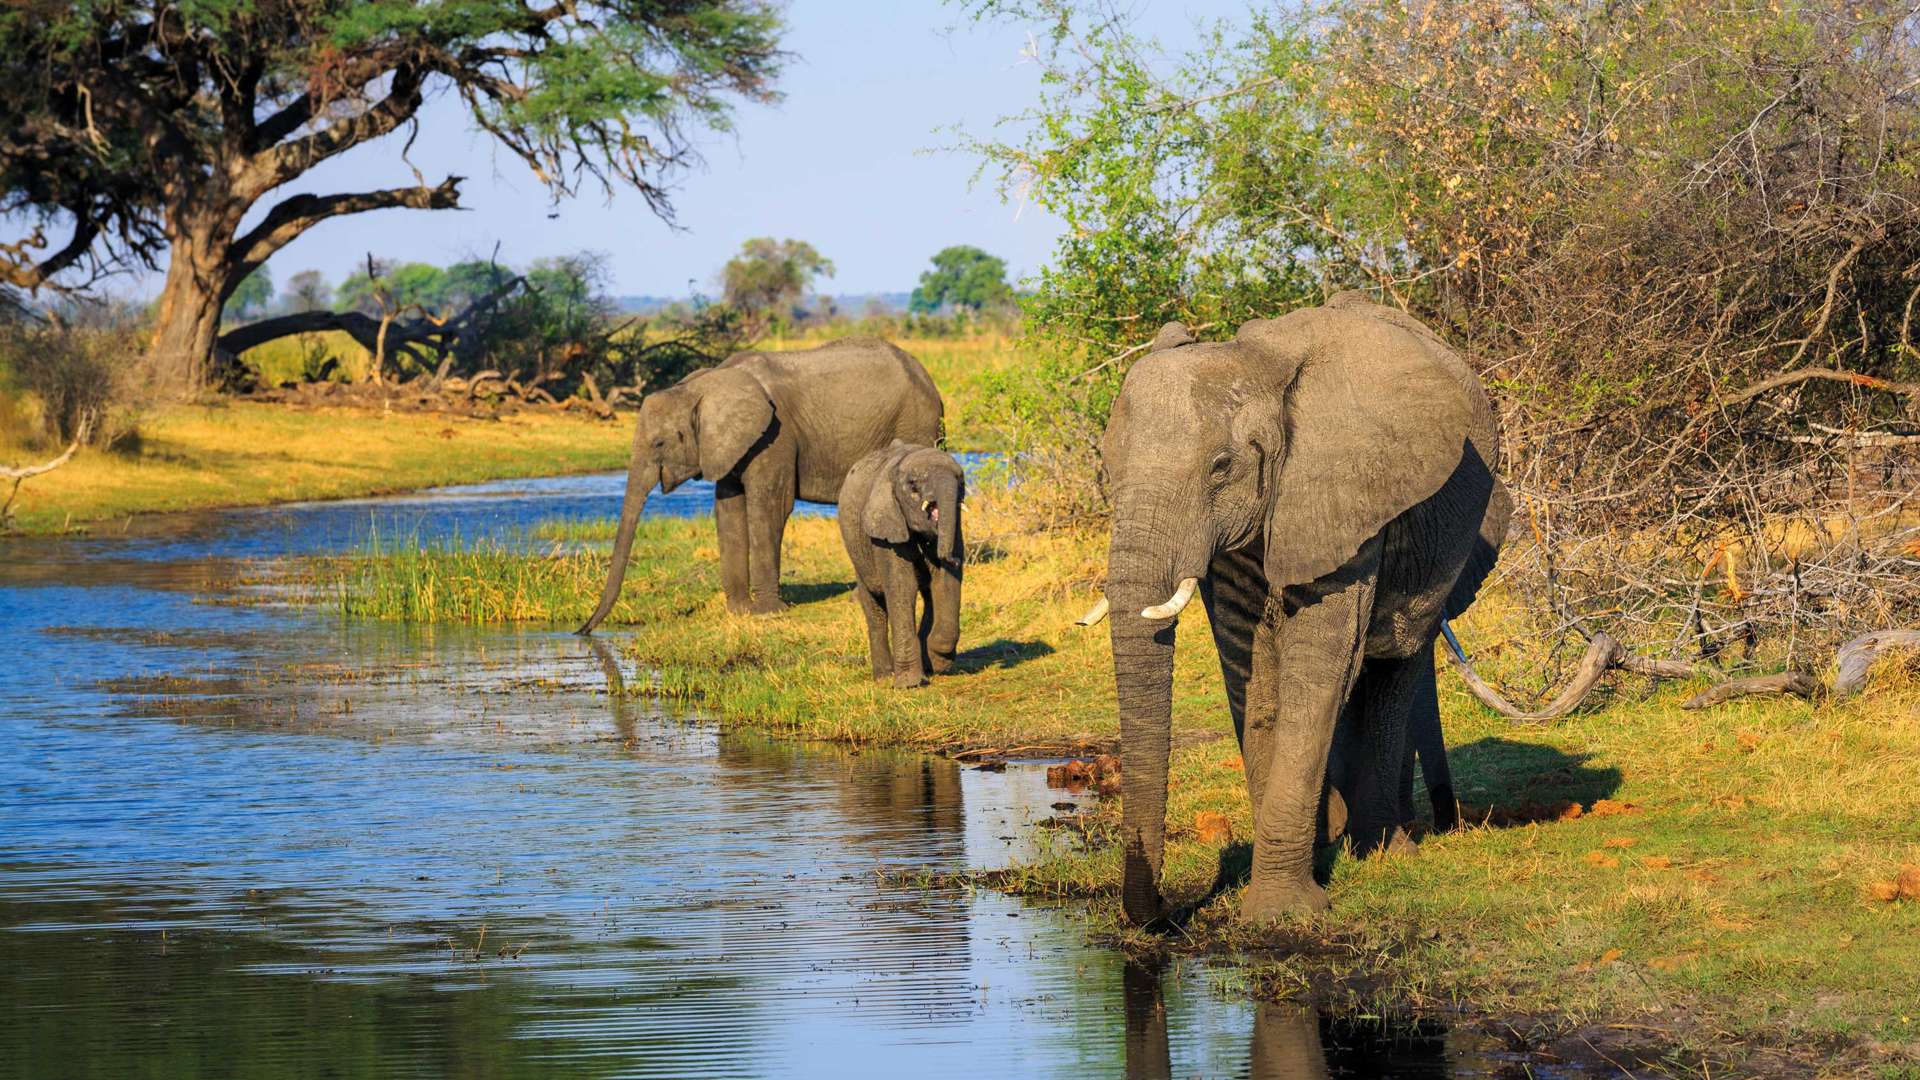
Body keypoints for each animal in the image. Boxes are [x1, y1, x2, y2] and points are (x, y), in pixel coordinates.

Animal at [579, 332, 948, 626]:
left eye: (659, 443)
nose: (583, 630)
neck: (703, 386)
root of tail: (926, 376)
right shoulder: (730, 446)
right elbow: (728, 511)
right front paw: (740, 611)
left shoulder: (775, 435)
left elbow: (769, 508)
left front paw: (770, 612)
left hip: (915, 424)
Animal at [837, 441, 967, 684]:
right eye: (913, 485)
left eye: (961, 481)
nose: (953, 558)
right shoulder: (886, 526)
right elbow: (902, 586)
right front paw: (909, 684)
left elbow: (945, 581)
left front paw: (939, 662)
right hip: (859, 555)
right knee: (874, 607)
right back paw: (883, 677)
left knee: (929, 595)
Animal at [1090, 294, 1505, 926]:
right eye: (1108, 470)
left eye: (1221, 466)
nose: (1162, 910)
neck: (1259, 367)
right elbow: (1254, 671)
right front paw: (1297, 869)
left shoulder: (1343, 488)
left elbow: (1319, 660)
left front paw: (1278, 912)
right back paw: (1337, 836)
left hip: (1446, 543)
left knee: (1393, 666)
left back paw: (1382, 848)